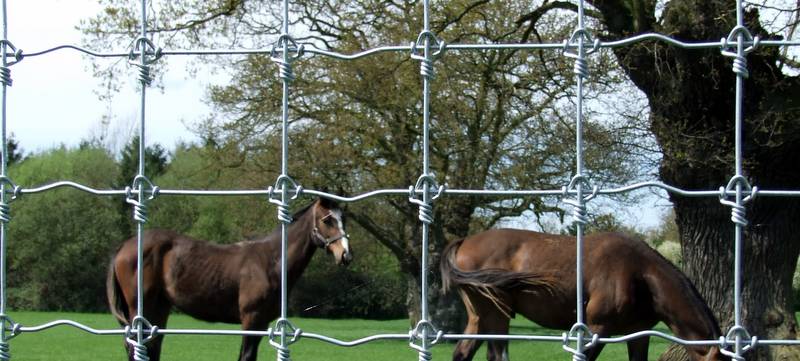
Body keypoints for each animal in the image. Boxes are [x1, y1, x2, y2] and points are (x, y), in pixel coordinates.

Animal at [108, 197, 352, 360]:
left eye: (344, 220)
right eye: (327, 220)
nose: (345, 255)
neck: (272, 261)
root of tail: (125, 246)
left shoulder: (261, 322)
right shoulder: (251, 319)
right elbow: (246, 356)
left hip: (159, 308)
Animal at [440, 228, 728, 360]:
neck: (640, 274)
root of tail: (464, 242)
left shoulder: (638, 334)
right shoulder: (597, 329)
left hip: (479, 319)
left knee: (462, 353)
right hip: (497, 317)